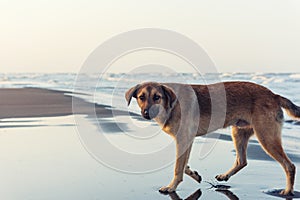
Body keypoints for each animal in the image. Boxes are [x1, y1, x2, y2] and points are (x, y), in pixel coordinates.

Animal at [125, 81, 298, 195]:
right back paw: (225, 176)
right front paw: (193, 173)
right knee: (242, 161)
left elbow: (178, 167)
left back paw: (288, 191)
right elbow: (183, 165)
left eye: (157, 97)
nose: (146, 113)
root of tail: (274, 95)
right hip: (239, 132)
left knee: (289, 165)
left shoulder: (183, 139)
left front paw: (172, 187)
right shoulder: (186, 141)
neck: (171, 104)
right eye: (141, 97)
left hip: (266, 137)